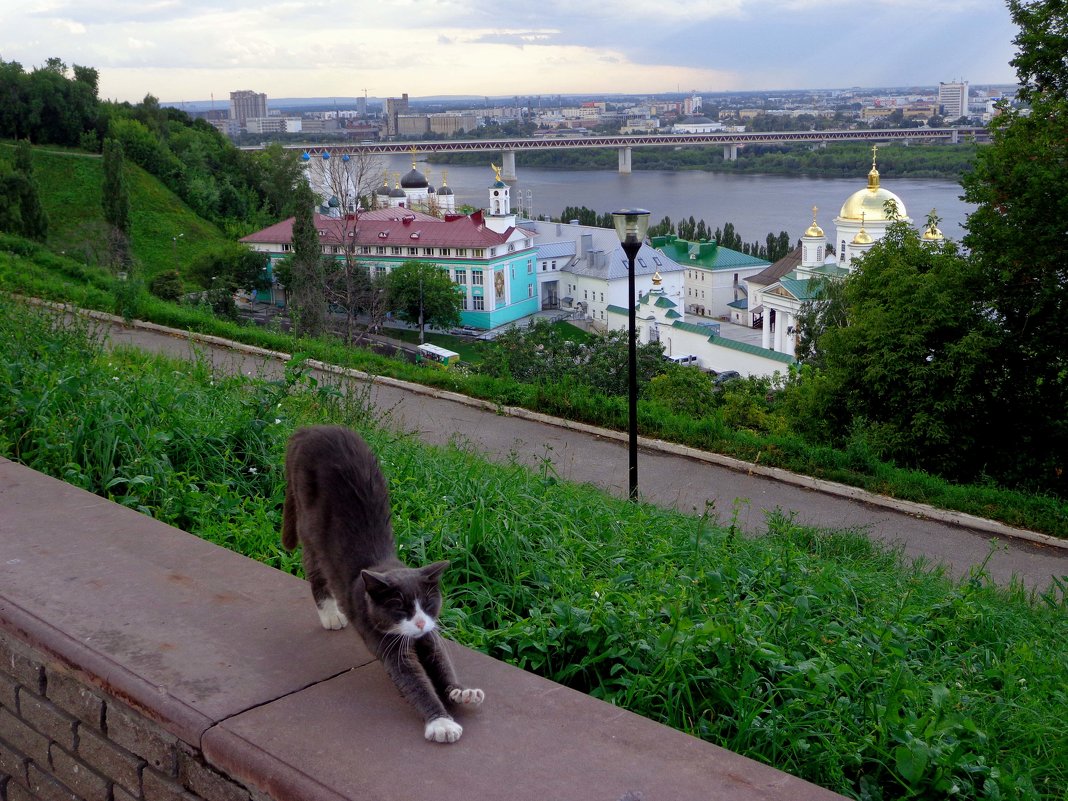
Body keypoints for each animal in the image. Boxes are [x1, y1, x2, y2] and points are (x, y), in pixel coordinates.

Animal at [281, 427, 487, 747]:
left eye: (428, 604)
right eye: (399, 607)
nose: (418, 622)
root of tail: (310, 429)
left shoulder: (430, 634)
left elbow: (441, 661)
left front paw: (460, 692)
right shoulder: (382, 637)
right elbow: (413, 680)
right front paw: (441, 722)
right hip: (309, 525)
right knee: (314, 568)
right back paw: (330, 615)